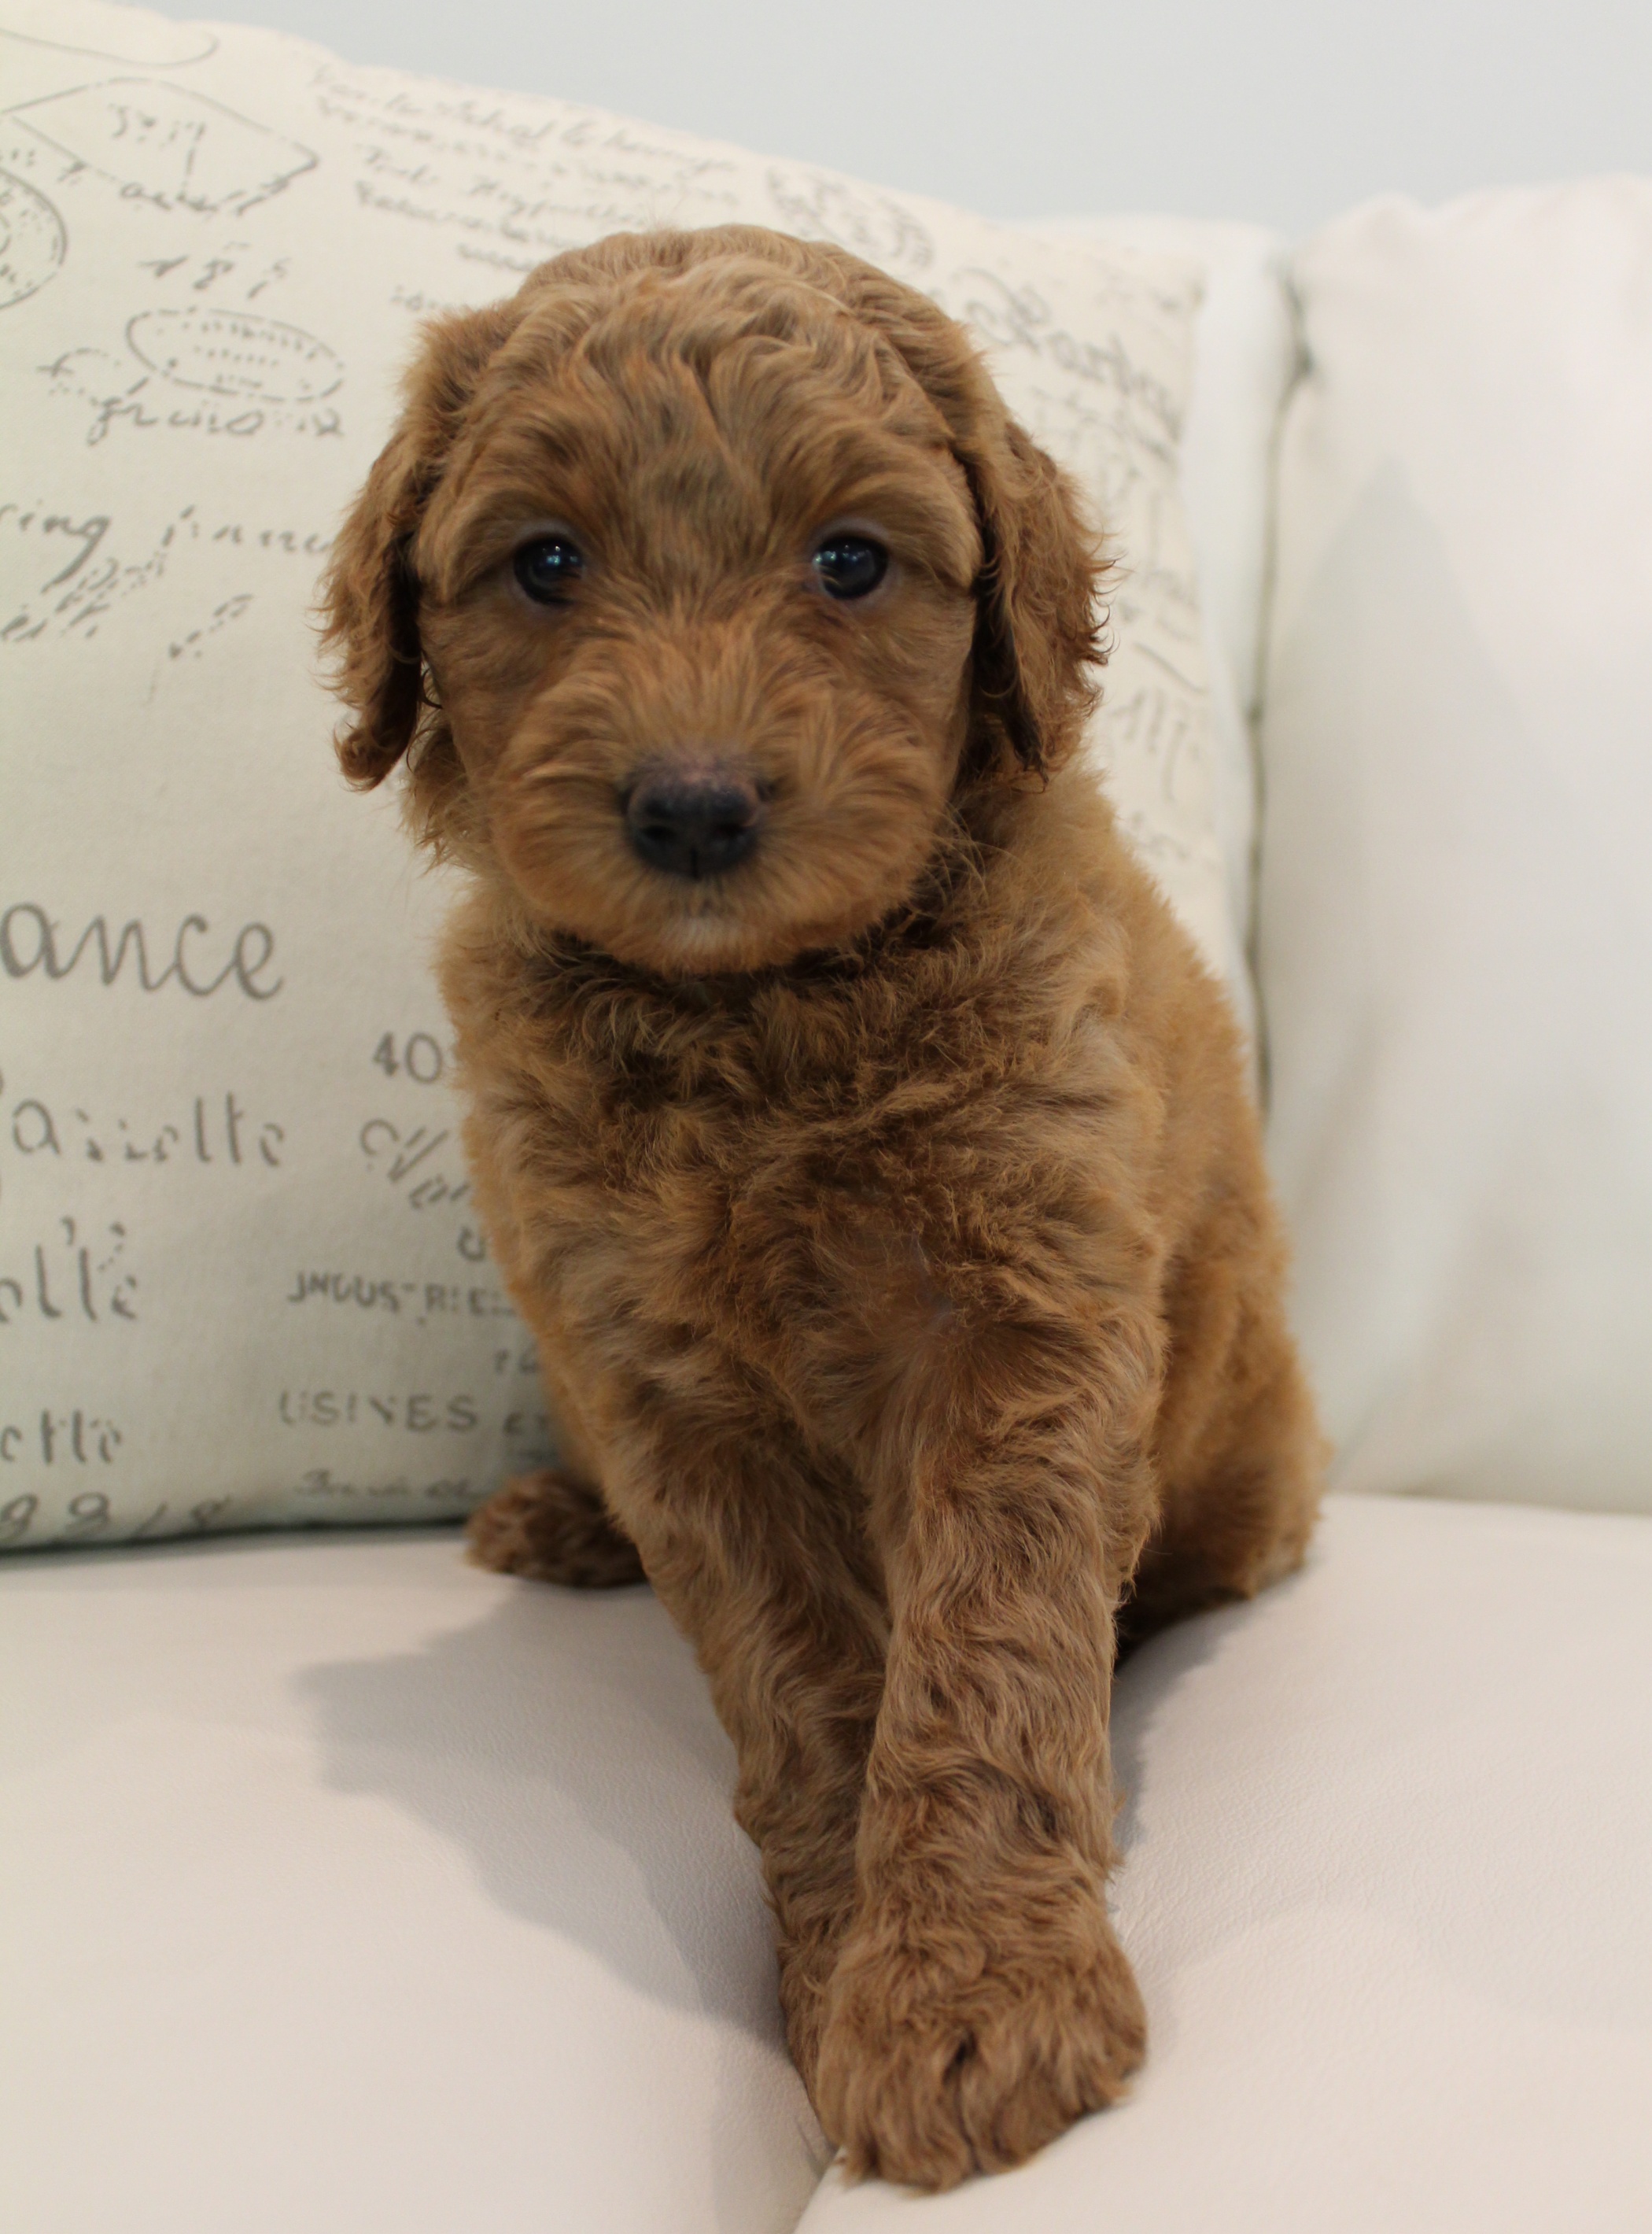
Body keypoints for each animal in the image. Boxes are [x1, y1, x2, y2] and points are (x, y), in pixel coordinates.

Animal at [322, 224, 1322, 2191]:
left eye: (853, 560)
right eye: (542, 561)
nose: (697, 809)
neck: (756, 1017)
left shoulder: (1022, 1321)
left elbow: (986, 1658)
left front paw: (971, 2000)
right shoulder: (657, 1381)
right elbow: (801, 1687)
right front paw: (856, 1960)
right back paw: (557, 1519)